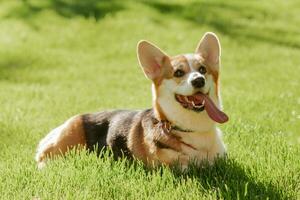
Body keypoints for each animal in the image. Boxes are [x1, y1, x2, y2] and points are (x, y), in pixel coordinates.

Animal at [35, 32, 229, 169]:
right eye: (178, 73)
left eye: (202, 70)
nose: (198, 80)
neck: (193, 129)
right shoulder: (173, 167)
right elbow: (186, 166)